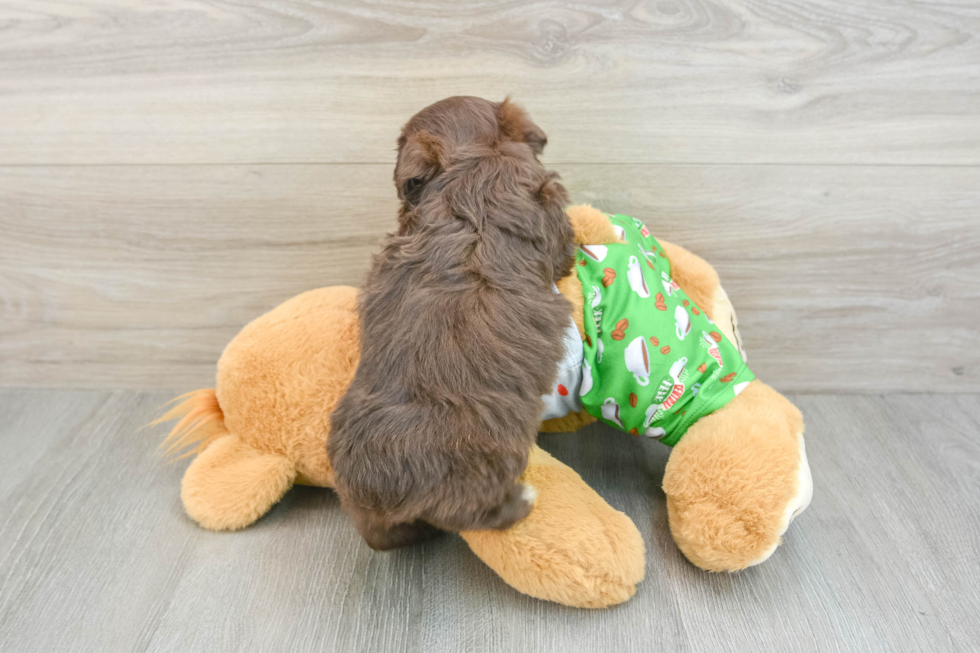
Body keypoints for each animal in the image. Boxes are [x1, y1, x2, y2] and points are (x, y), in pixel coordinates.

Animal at [330, 95, 576, 552]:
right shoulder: (546, 200)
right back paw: (522, 501)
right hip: (487, 463)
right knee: (474, 515)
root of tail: (376, 498)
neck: (469, 160)